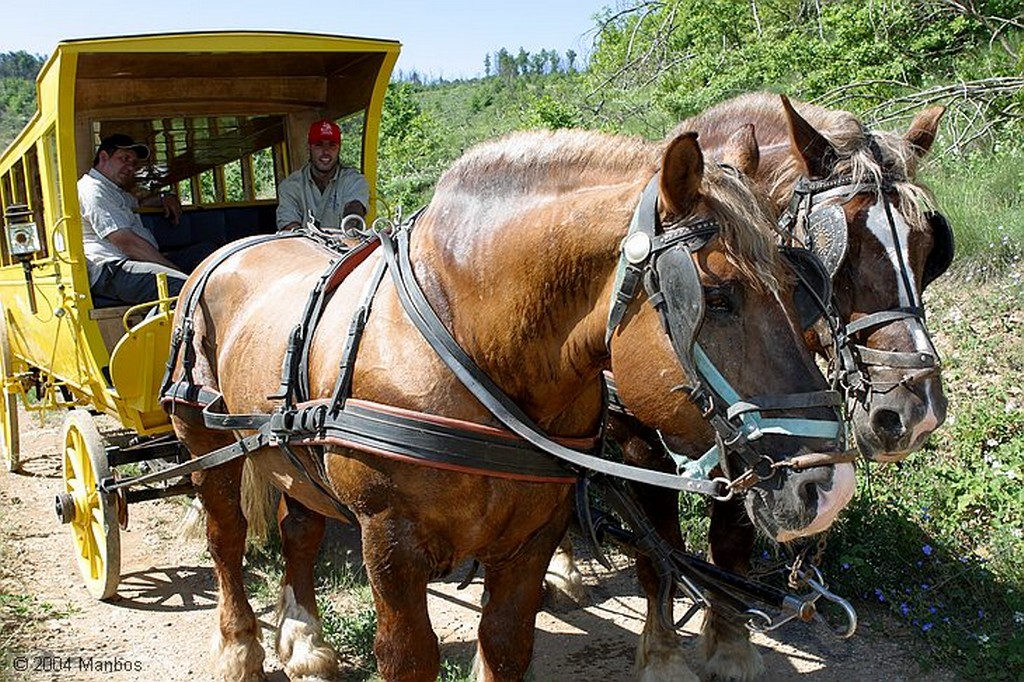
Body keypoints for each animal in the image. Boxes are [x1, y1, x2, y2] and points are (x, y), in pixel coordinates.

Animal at [167, 129, 851, 679]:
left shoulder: (532, 537)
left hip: (292, 452)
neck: (468, 343)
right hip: (206, 445)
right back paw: (240, 650)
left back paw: (304, 640)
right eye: (718, 295)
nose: (830, 487)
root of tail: (230, 250)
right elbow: (409, 656)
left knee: (300, 529)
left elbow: (506, 643)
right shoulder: (389, 542)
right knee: (227, 541)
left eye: (796, 285)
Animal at [598, 96, 950, 679]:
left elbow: (730, 541)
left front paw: (730, 645)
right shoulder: (636, 440)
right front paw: (664, 655)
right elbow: (657, 551)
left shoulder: (749, 436)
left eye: (928, 249)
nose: (917, 411)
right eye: (838, 250)